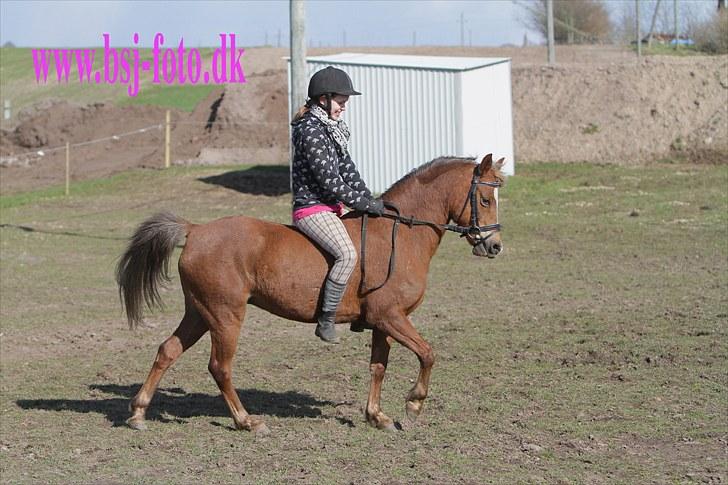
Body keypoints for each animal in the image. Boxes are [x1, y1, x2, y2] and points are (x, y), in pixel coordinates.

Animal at [116, 154, 505, 434]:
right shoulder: (391, 316)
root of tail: (195, 230)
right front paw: (413, 405)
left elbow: (378, 367)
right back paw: (247, 421)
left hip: (199, 312)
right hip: (225, 316)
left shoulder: (383, 321)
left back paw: (138, 413)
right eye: (485, 199)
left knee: (167, 351)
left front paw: (377, 416)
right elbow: (428, 354)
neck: (402, 233)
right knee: (219, 367)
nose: (495, 246)